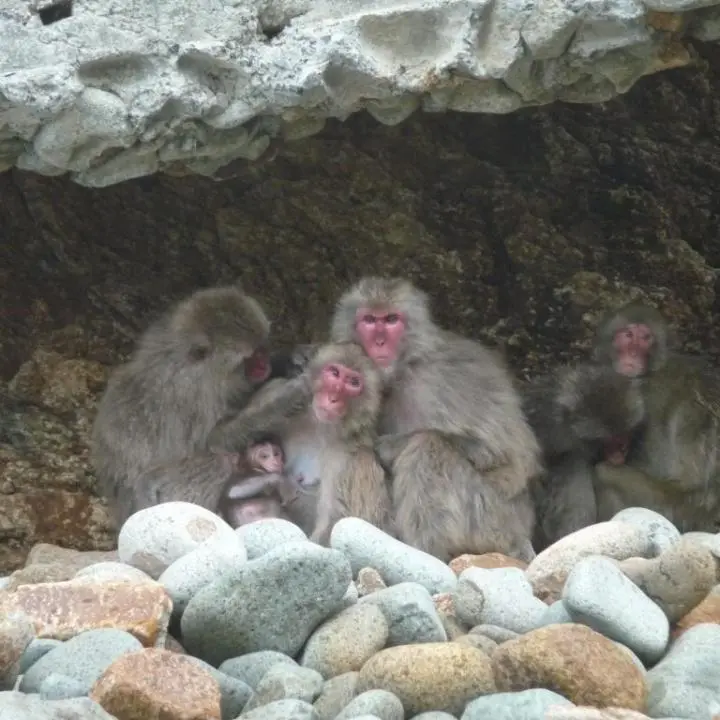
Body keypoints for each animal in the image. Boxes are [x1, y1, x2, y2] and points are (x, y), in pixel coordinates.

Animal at [90, 284, 272, 527]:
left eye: (262, 348)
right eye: (250, 358)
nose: (265, 364)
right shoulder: (196, 397)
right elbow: (215, 441)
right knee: (217, 462)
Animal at [328, 276, 541, 563]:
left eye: (392, 319)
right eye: (370, 320)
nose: (380, 342)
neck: (405, 366)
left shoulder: (445, 378)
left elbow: (506, 458)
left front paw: (388, 447)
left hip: (494, 522)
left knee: (428, 446)